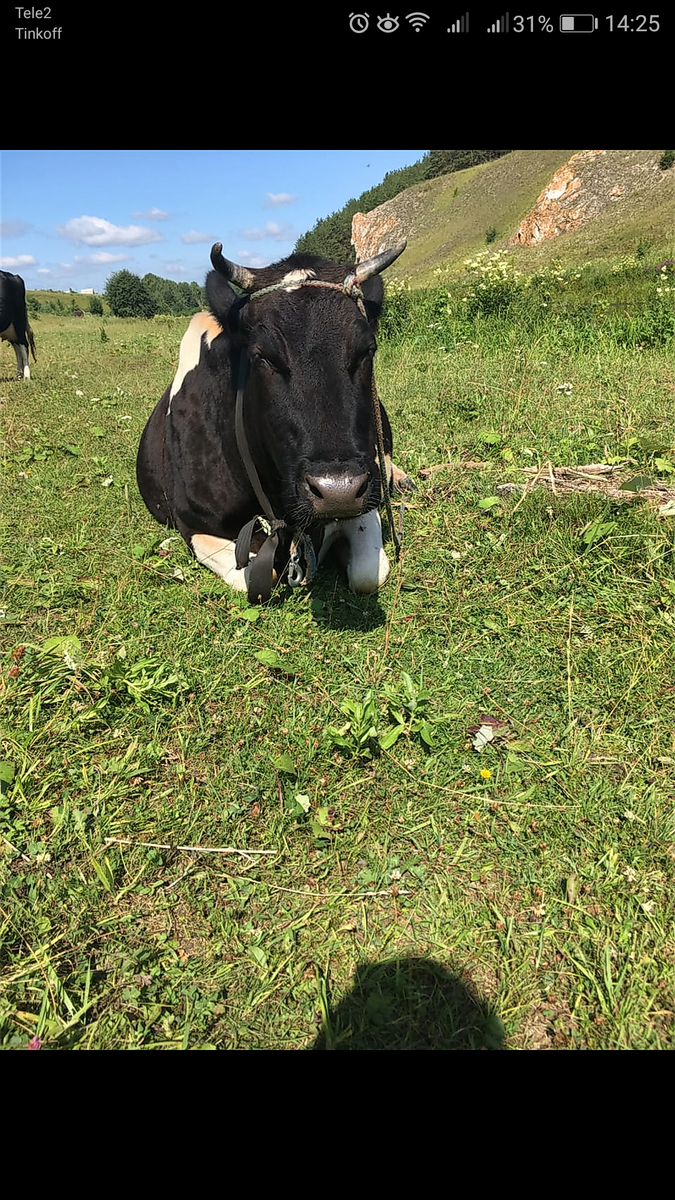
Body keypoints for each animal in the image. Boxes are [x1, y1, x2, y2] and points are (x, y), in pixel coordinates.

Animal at [137, 241, 408, 600]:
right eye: (262, 355)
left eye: (367, 349)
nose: (337, 490)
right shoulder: (193, 523)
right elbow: (255, 575)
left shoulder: (366, 494)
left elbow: (367, 574)